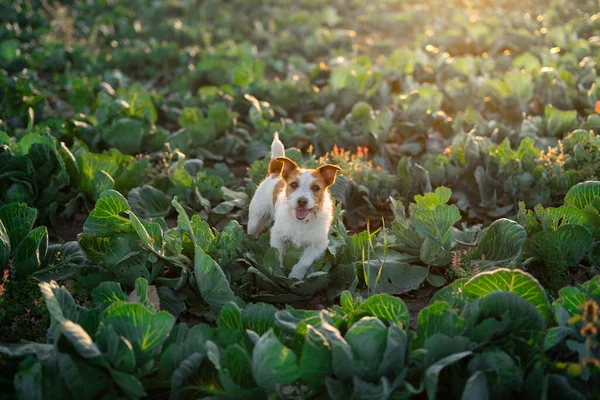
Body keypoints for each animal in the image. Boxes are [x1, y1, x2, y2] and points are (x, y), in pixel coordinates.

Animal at [247, 133, 340, 280]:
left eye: (315, 188)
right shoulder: (278, 236)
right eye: (293, 184)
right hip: (255, 220)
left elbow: (304, 262)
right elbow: (277, 255)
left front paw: (295, 276)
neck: (301, 221)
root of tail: (275, 172)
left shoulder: (318, 245)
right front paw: (276, 273)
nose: (302, 201)